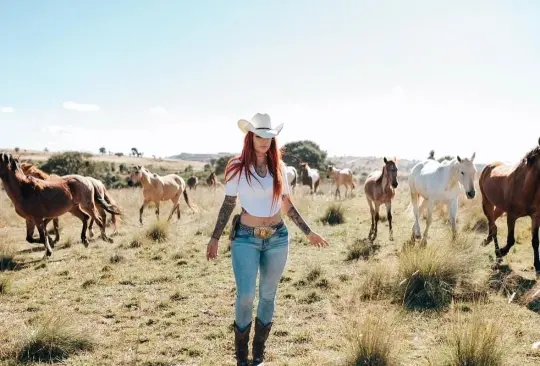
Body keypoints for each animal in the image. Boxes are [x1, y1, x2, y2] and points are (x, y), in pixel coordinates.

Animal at [480, 139, 540, 276]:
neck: (525, 187)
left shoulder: (535, 216)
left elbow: (535, 241)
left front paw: (538, 267)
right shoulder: (511, 216)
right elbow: (511, 240)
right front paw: (501, 252)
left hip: (500, 207)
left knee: (492, 222)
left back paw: (487, 241)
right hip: (487, 202)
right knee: (493, 226)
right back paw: (497, 253)